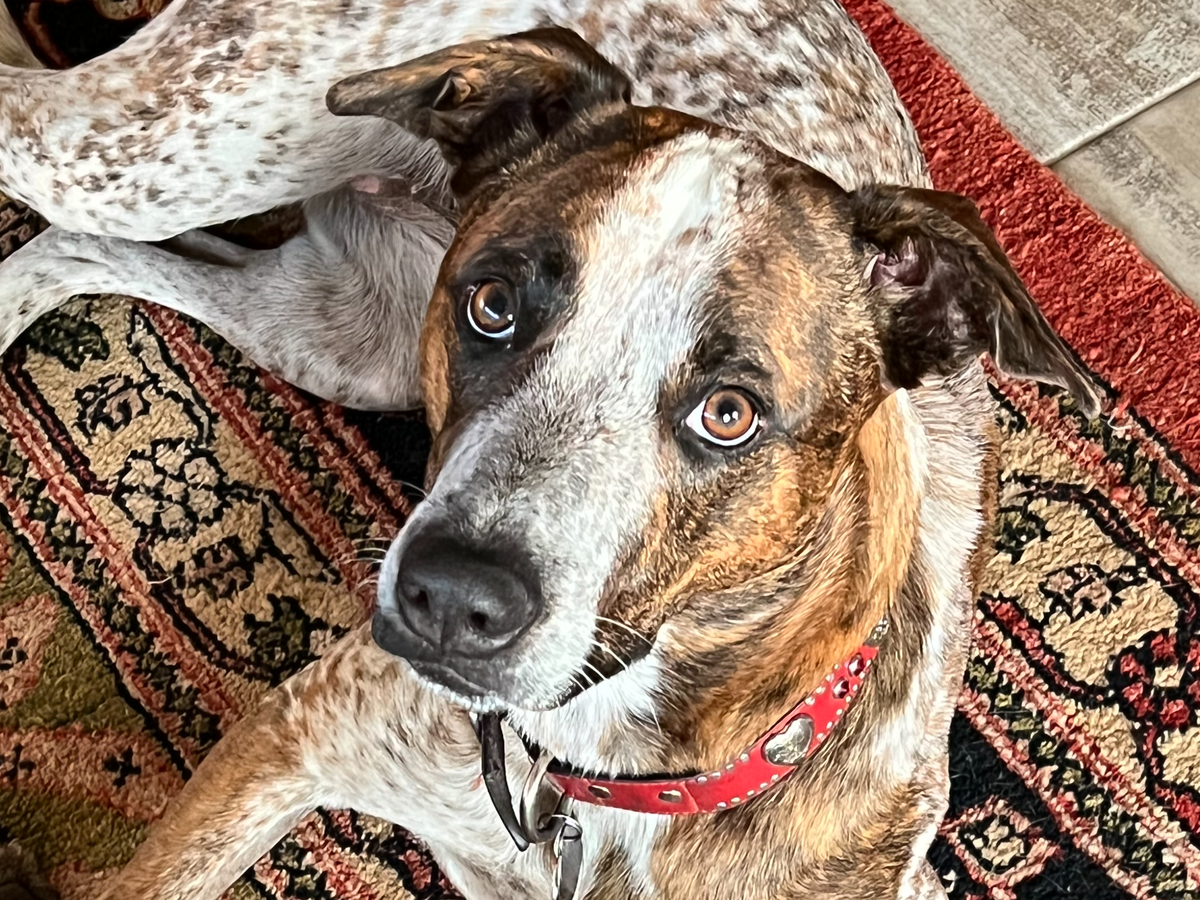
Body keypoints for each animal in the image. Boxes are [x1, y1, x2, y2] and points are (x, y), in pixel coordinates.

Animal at [0, 4, 1103, 900]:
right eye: (492, 305)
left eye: (730, 413)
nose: (451, 600)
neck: (601, 779)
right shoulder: (290, 737)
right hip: (149, 155)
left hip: (346, 336)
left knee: (76, 251)